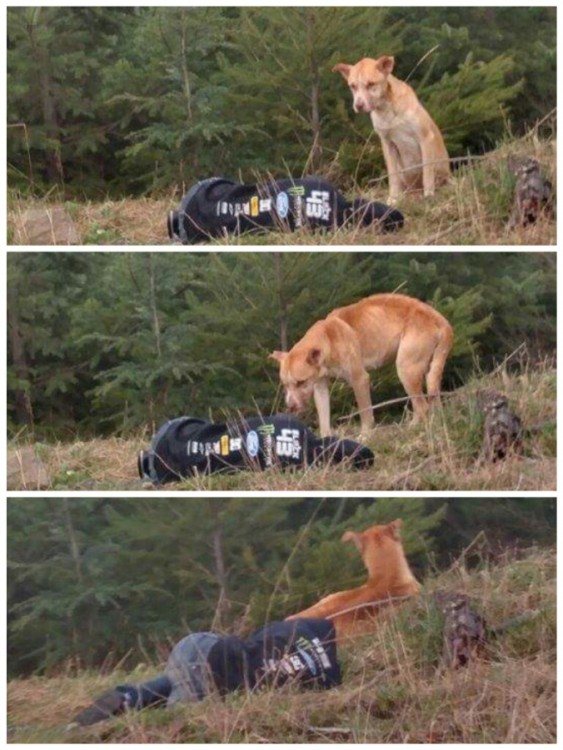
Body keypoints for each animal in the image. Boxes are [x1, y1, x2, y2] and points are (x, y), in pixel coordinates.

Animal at [268, 292, 454, 438]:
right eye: (285, 385)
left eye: (300, 382)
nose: (290, 406)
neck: (328, 339)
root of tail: (440, 320)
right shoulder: (320, 387)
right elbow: (324, 419)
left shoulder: (359, 380)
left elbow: (365, 413)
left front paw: (365, 436)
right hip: (429, 372)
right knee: (432, 402)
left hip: (406, 369)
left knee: (422, 407)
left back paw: (411, 429)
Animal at [334, 55, 450, 201]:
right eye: (352, 86)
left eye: (371, 84)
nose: (358, 105)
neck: (387, 110)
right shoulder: (388, 145)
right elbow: (393, 176)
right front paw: (393, 198)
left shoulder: (425, 138)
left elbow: (427, 172)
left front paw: (429, 195)